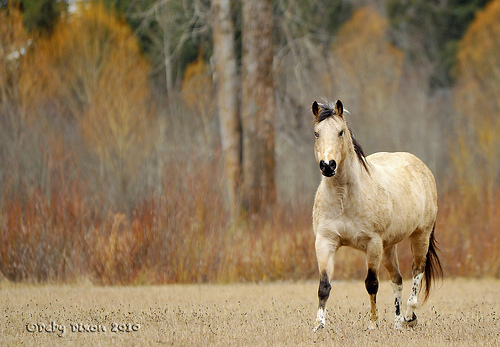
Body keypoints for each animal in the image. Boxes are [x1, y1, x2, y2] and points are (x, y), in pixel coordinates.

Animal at [310, 100, 444, 332]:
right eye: (317, 133)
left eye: (340, 132)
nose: (328, 165)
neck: (344, 198)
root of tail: (423, 168)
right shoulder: (325, 242)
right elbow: (324, 286)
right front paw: (318, 326)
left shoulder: (372, 244)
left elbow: (371, 283)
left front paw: (373, 324)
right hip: (388, 247)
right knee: (397, 279)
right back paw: (398, 323)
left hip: (420, 236)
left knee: (417, 271)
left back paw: (410, 315)